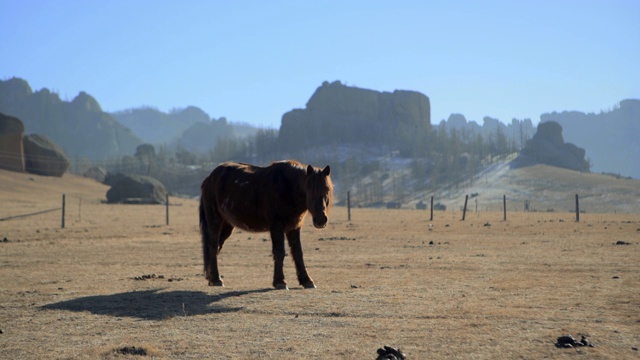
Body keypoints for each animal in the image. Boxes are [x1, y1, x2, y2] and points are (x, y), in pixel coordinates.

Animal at [199, 160, 330, 290]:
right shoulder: (276, 226)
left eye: (327, 190)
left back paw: (211, 277)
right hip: (215, 221)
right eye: (310, 189)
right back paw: (216, 279)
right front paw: (280, 281)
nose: (321, 219)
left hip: (227, 225)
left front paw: (306, 280)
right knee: (213, 246)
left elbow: (297, 252)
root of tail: (209, 179)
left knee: (217, 247)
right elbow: (279, 252)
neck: (287, 188)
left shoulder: (294, 227)